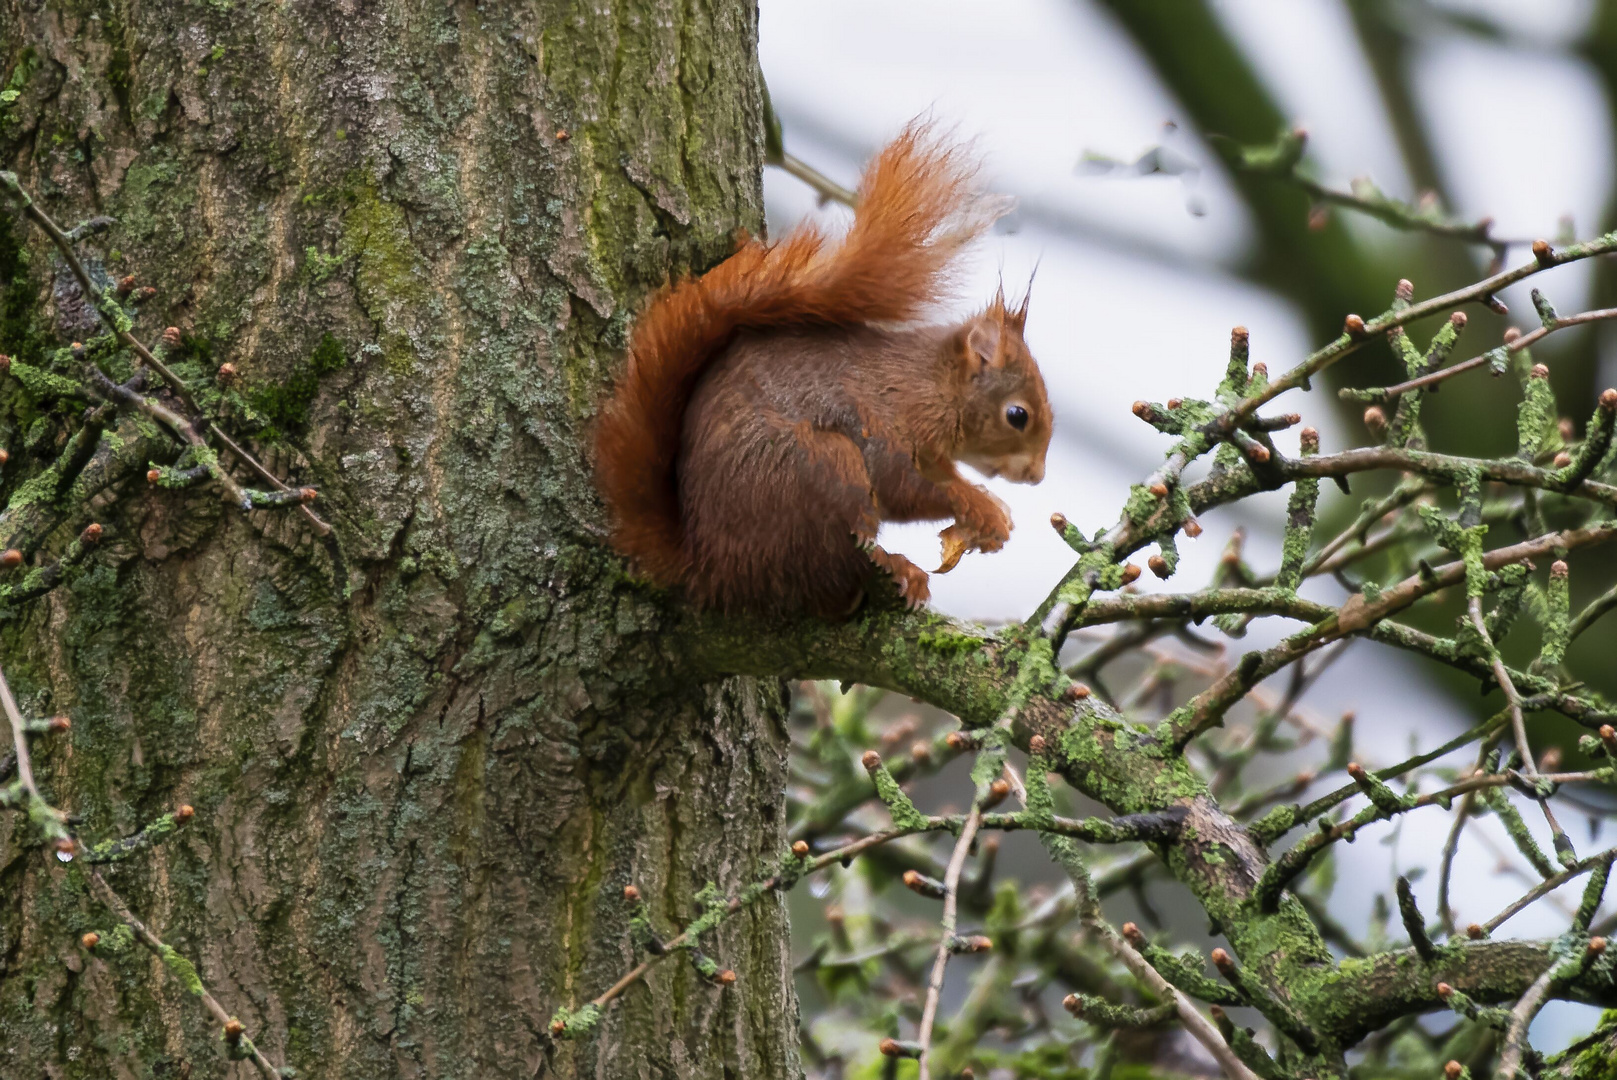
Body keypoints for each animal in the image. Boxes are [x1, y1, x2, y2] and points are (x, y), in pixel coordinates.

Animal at [591, 122, 1047, 614]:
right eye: (1017, 415)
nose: (1037, 476)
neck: (932, 385)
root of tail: (709, 567)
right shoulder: (888, 418)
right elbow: (905, 486)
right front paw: (980, 508)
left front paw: (992, 512)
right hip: (822, 467)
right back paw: (896, 567)